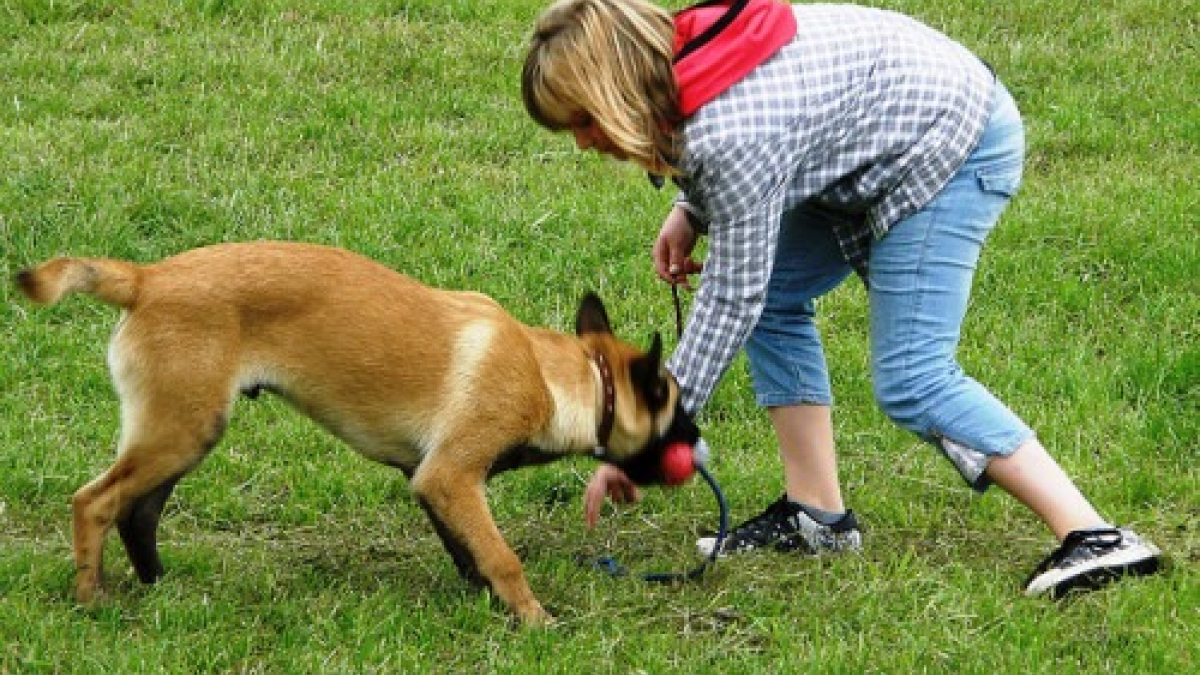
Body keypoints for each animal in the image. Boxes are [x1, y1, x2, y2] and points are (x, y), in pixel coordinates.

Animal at [14, 239, 700, 624]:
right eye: (671, 404)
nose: (699, 438)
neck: (558, 376)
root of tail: (147, 278)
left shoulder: (430, 482)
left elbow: (468, 549)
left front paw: (482, 597)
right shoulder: (451, 474)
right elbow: (501, 556)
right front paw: (533, 618)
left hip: (182, 432)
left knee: (139, 512)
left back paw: (159, 589)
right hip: (179, 431)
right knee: (95, 502)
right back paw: (92, 599)